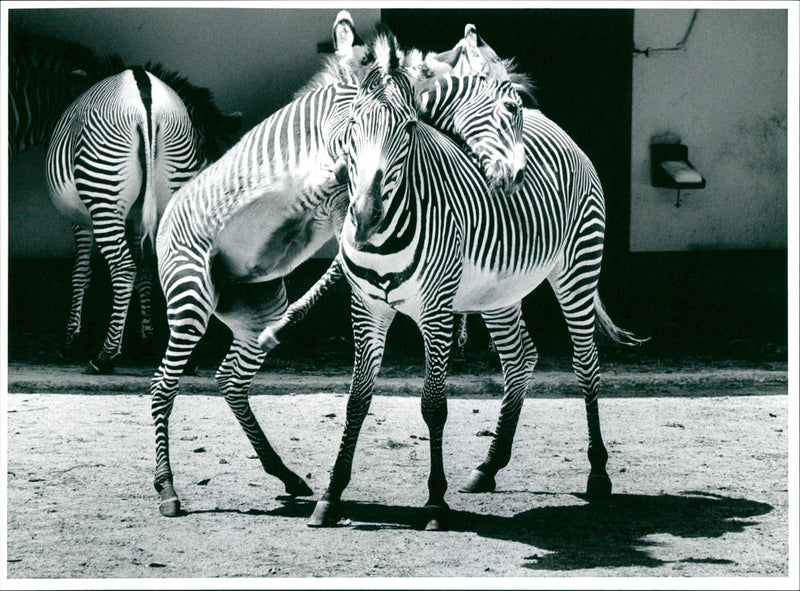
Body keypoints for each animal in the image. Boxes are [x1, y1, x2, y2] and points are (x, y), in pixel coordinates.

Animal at [46, 65, 241, 374]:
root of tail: (146, 98)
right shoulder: (139, 219)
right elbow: (146, 270)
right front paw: (147, 337)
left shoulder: (81, 219)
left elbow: (81, 273)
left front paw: (70, 340)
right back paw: (186, 358)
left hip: (103, 190)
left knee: (124, 267)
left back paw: (105, 356)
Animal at [149, 28, 527, 518]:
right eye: (512, 109)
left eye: (409, 128)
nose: (515, 178)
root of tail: (164, 220)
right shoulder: (338, 171)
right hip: (190, 296)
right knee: (163, 386)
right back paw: (167, 488)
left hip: (255, 308)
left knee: (230, 380)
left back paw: (285, 474)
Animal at [294, 33, 643, 531]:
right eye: (354, 124)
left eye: (408, 128)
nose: (363, 215)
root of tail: (558, 128)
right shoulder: (367, 310)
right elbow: (356, 401)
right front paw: (331, 494)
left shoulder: (436, 311)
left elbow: (433, 406)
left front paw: (435, 502)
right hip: (498, 293)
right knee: (520, 358)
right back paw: (489, 465)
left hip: (577, 268)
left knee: (586, 364)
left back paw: (597, 472)